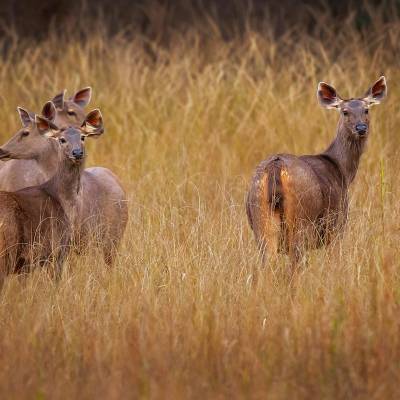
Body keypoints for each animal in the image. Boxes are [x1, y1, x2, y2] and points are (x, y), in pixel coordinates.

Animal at [0, 111, 101, 288]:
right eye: (62, 139)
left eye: (83, 137)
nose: (77, 153)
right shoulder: (57, 249)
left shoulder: (27, 263)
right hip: (8, 249)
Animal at [247, 76, 388, 264]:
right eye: (345, 112)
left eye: (366, 110)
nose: (361, 128)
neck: (343, 171)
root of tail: (275, 167)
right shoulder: (337, 225)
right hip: (302, 220)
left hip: (260, 219)